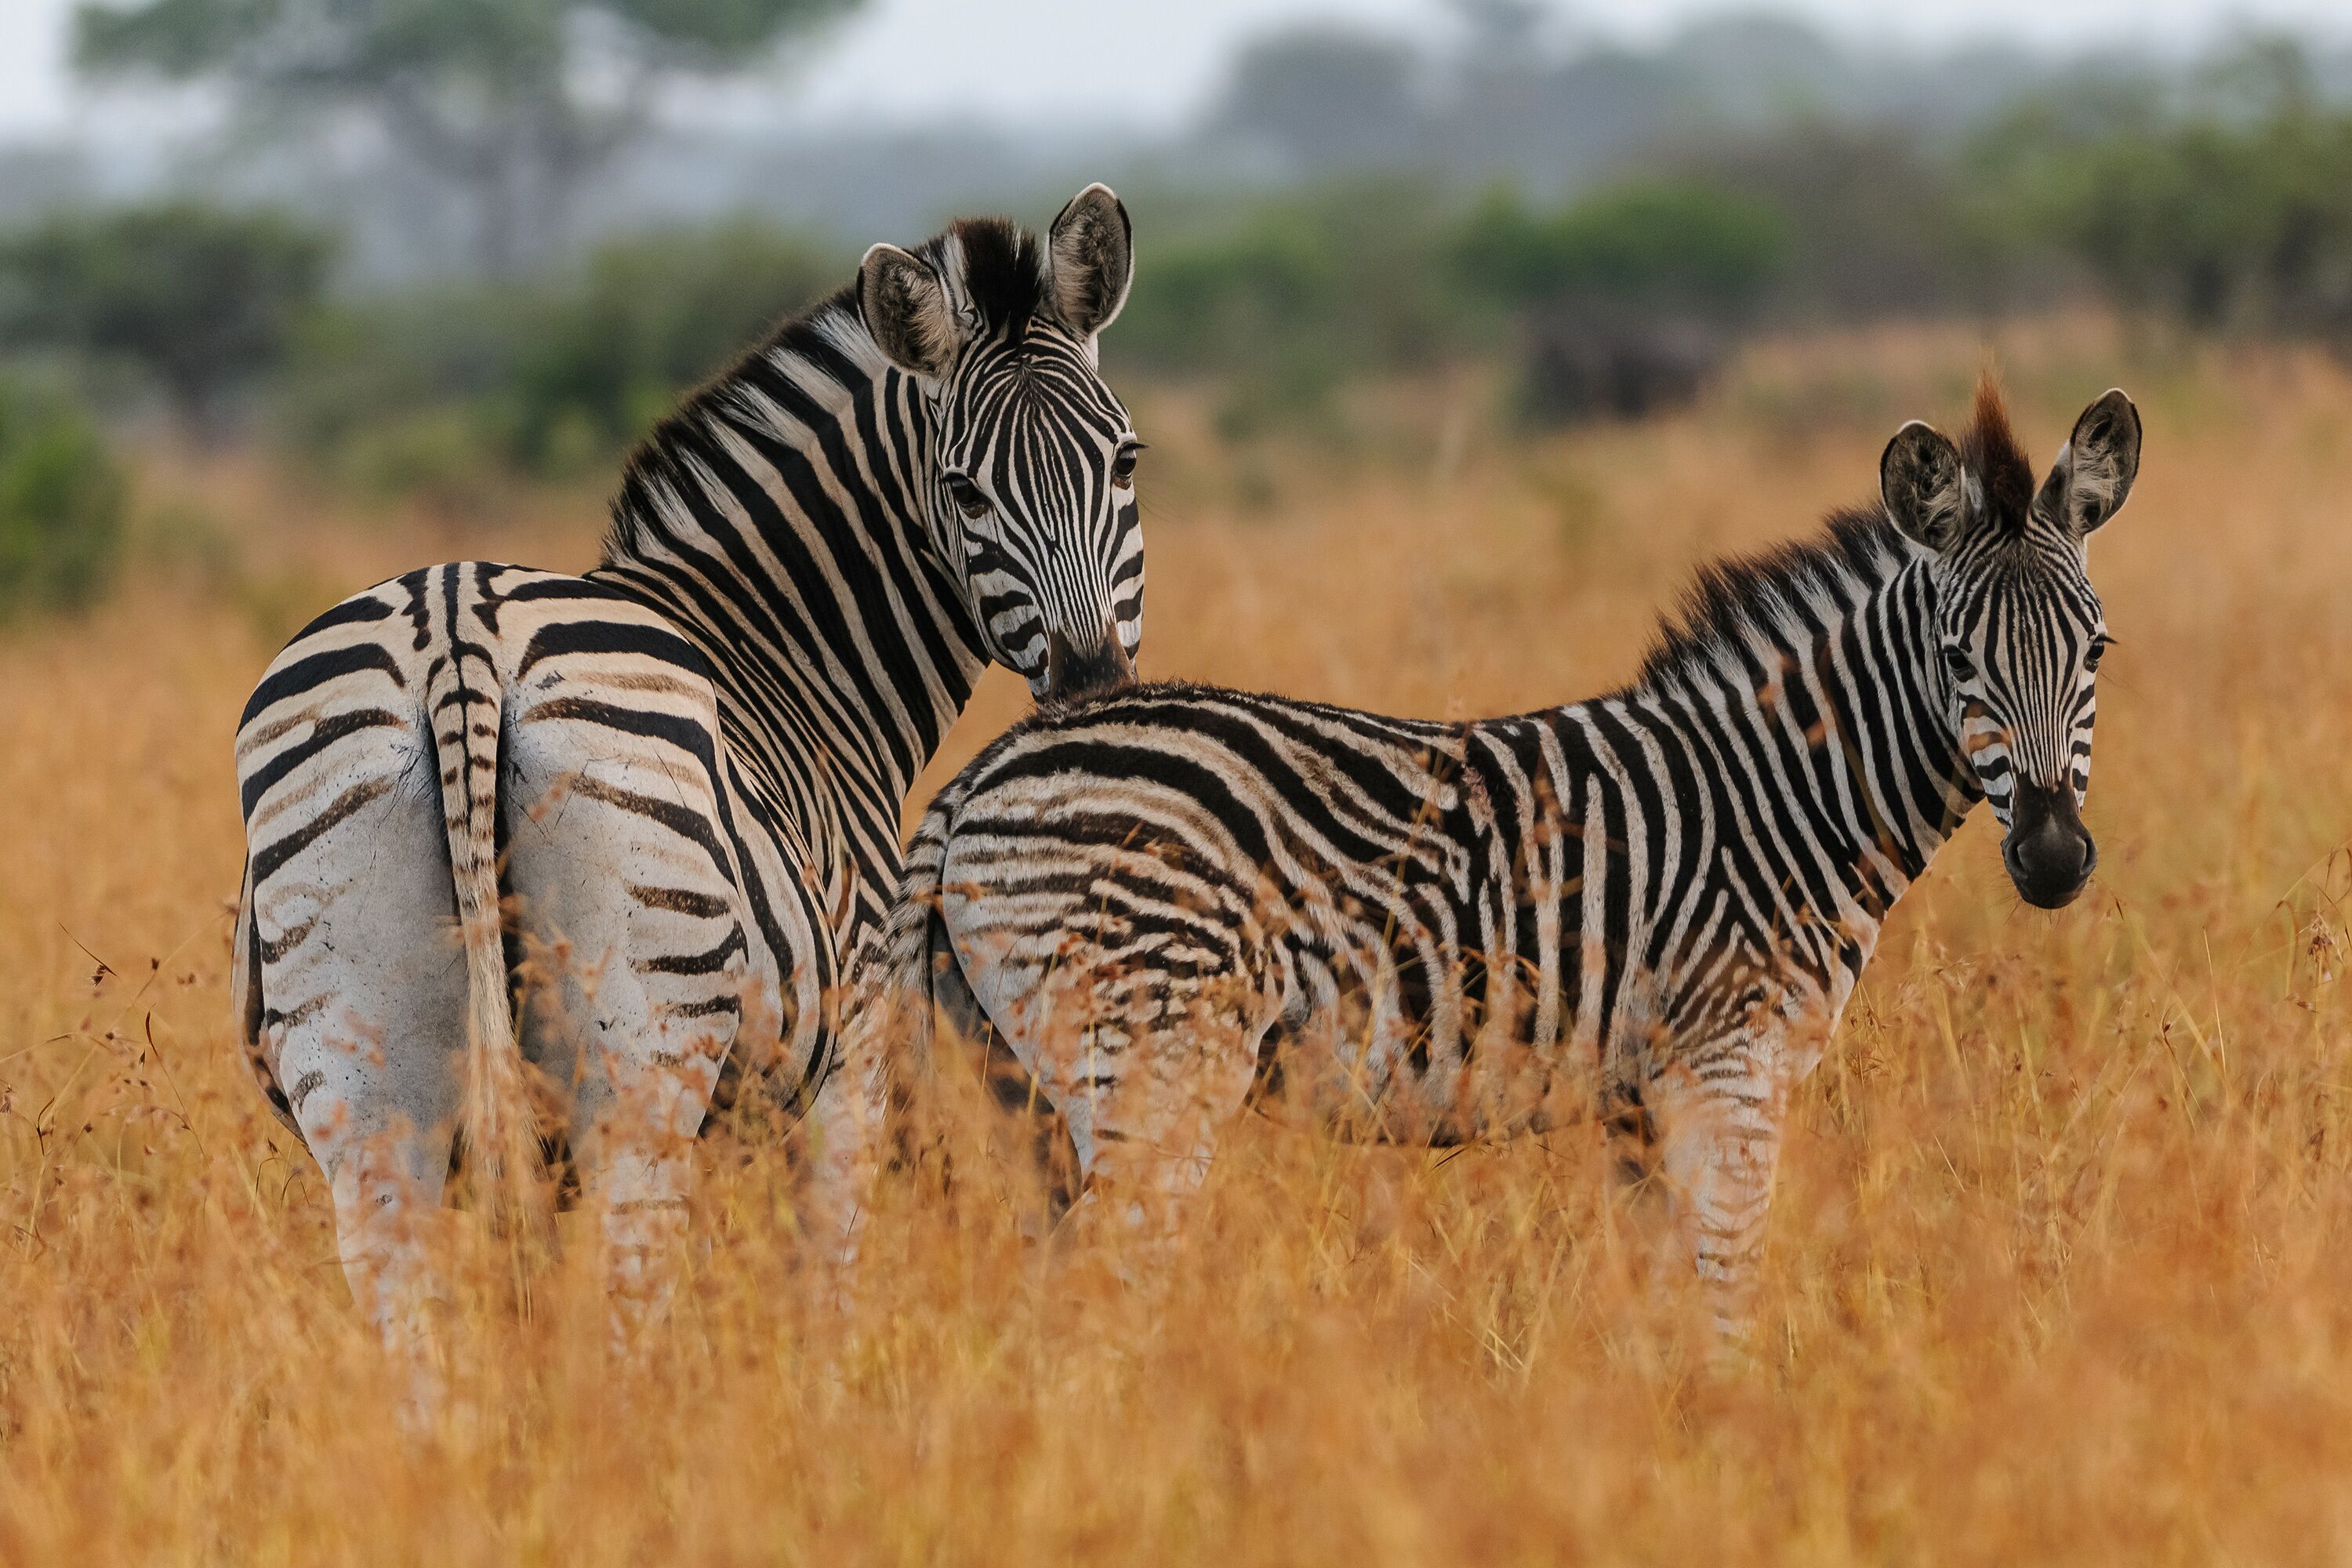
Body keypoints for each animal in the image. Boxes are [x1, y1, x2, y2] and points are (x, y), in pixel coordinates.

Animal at [231, 186, 1143, 1385]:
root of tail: (455, 626)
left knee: (414, 1322)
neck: (785, 648)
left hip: (365, 1079)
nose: (1090, 688)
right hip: (641, 1068)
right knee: (630, 1308)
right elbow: (821, 1291)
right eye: (964, 491)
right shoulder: (848, 1058)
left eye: (1124, 463)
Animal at [816, 381, 2140, 1334]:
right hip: (1151, 1057)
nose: (2053, 858)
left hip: (1021, 1082)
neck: (1777, 798)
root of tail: (984, 772)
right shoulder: (1728, 1066)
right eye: (1959, 657)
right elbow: (1729, 1290)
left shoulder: (1640, 1094)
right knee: (1106, 1286)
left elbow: (1663, 1296)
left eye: (2097, 649)